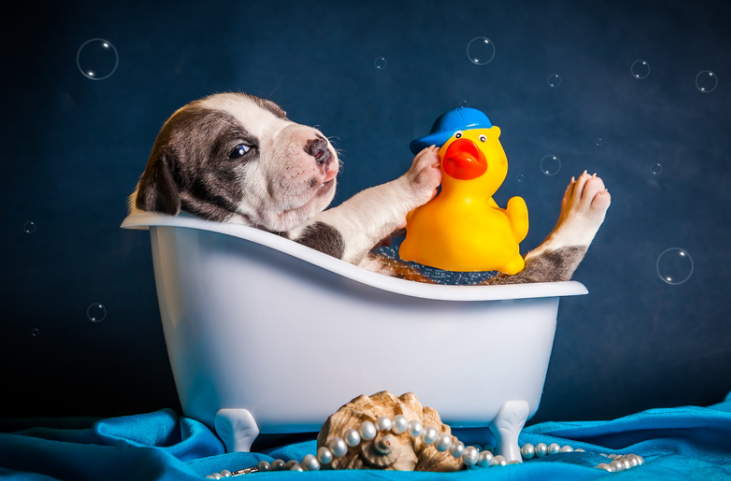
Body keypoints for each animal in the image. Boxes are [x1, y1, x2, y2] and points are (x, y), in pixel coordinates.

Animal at [132, 92, 612, 284]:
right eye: (239, 151)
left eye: (280, 114)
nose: (318, 145)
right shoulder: (316, 241)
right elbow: (363, 204)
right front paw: (417, 178)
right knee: (549, 263)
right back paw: (584, 204)